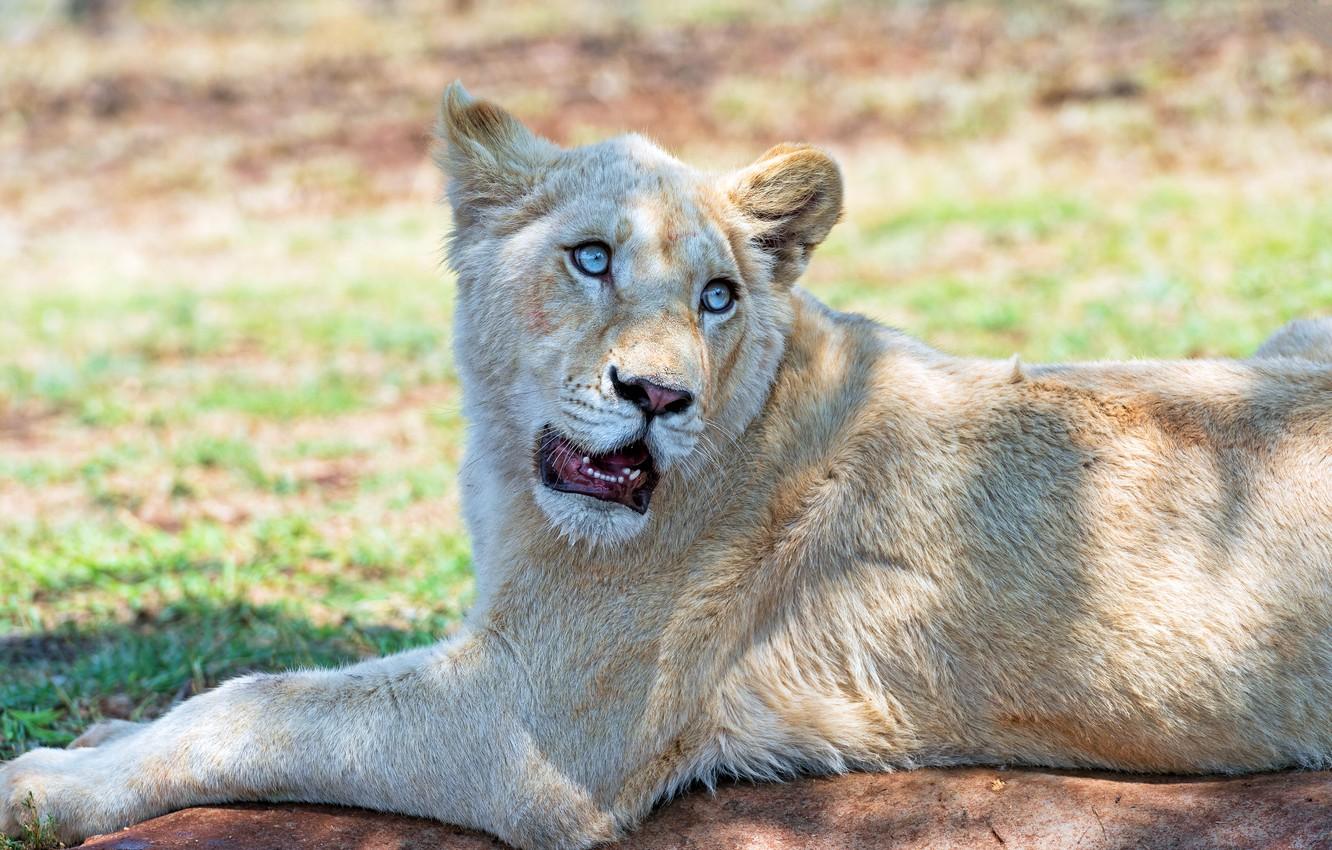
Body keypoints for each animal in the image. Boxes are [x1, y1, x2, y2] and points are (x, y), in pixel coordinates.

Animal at [4, 83, 1331, 849]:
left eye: (717, 294)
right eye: (591, 258)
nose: (657, 397)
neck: (513, 479)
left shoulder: (535, 731)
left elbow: (259, 699)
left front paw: (50, 781)